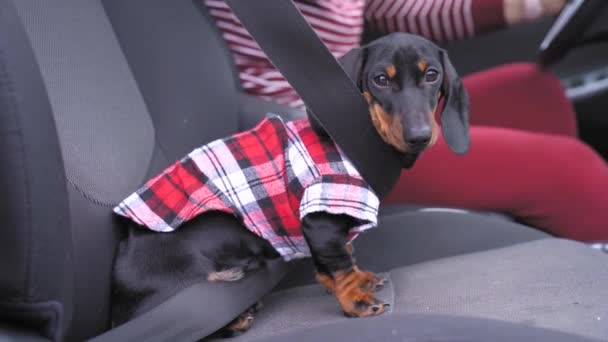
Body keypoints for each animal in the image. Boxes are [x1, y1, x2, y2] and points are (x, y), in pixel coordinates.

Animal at [110, 32, 470, 336]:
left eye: (432, 75)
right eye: (380, 79)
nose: (419, 136)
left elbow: (339, 259)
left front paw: (360, 280)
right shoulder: (321, 216)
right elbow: (340, 264)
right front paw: (355, 299)